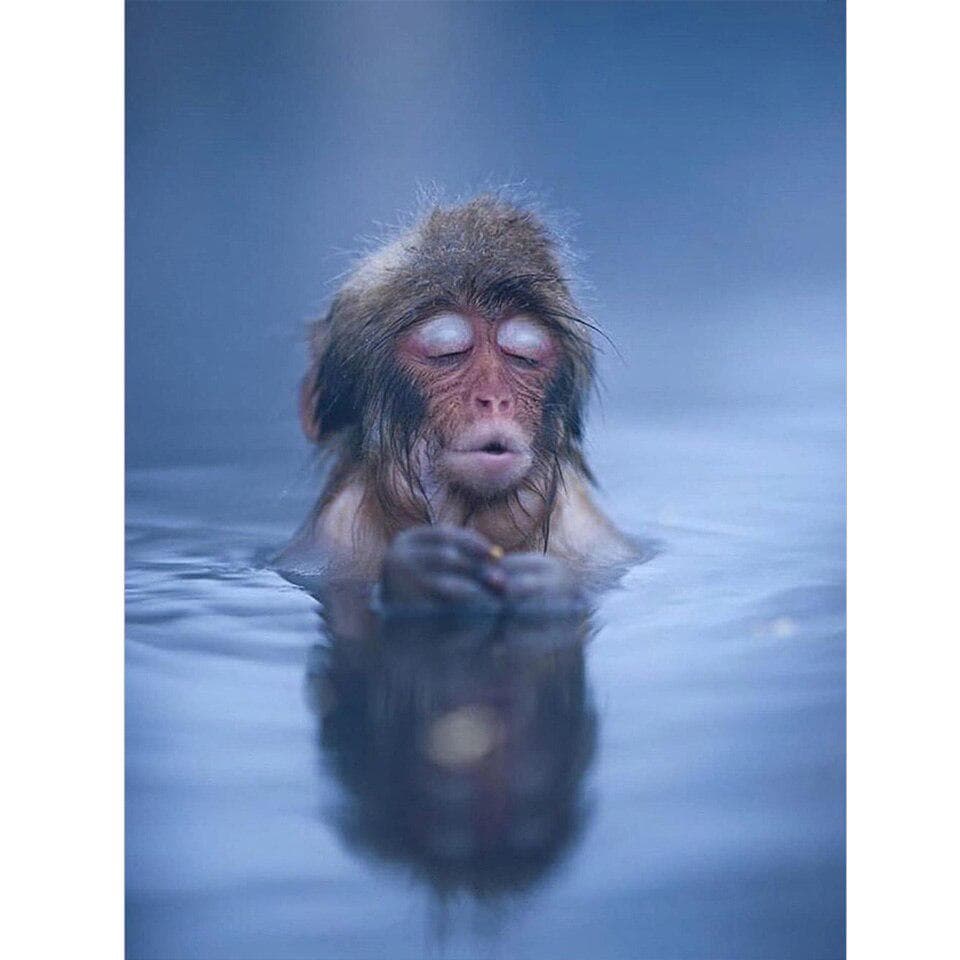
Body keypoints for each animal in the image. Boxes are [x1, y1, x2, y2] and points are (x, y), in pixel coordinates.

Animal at [278, 196, 636, 613]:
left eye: (524, 358)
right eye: (447, 353)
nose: (495, 399)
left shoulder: (590, 535)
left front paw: (546, 587)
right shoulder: (331, 539)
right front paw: (421, 573)